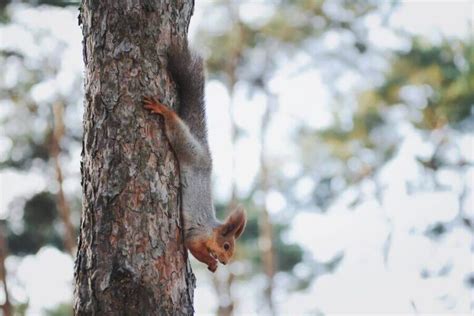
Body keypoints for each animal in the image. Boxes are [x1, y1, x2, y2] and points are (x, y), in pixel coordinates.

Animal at [143, 41, 248, 272]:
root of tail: (205, 154)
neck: (210, 230)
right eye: (226, 246)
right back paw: (163, 109)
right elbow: (192, 248)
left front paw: (213, 265)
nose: (226, 262)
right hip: (187, 149)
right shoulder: (195, 234)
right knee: (176, 130)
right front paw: (210, 261)